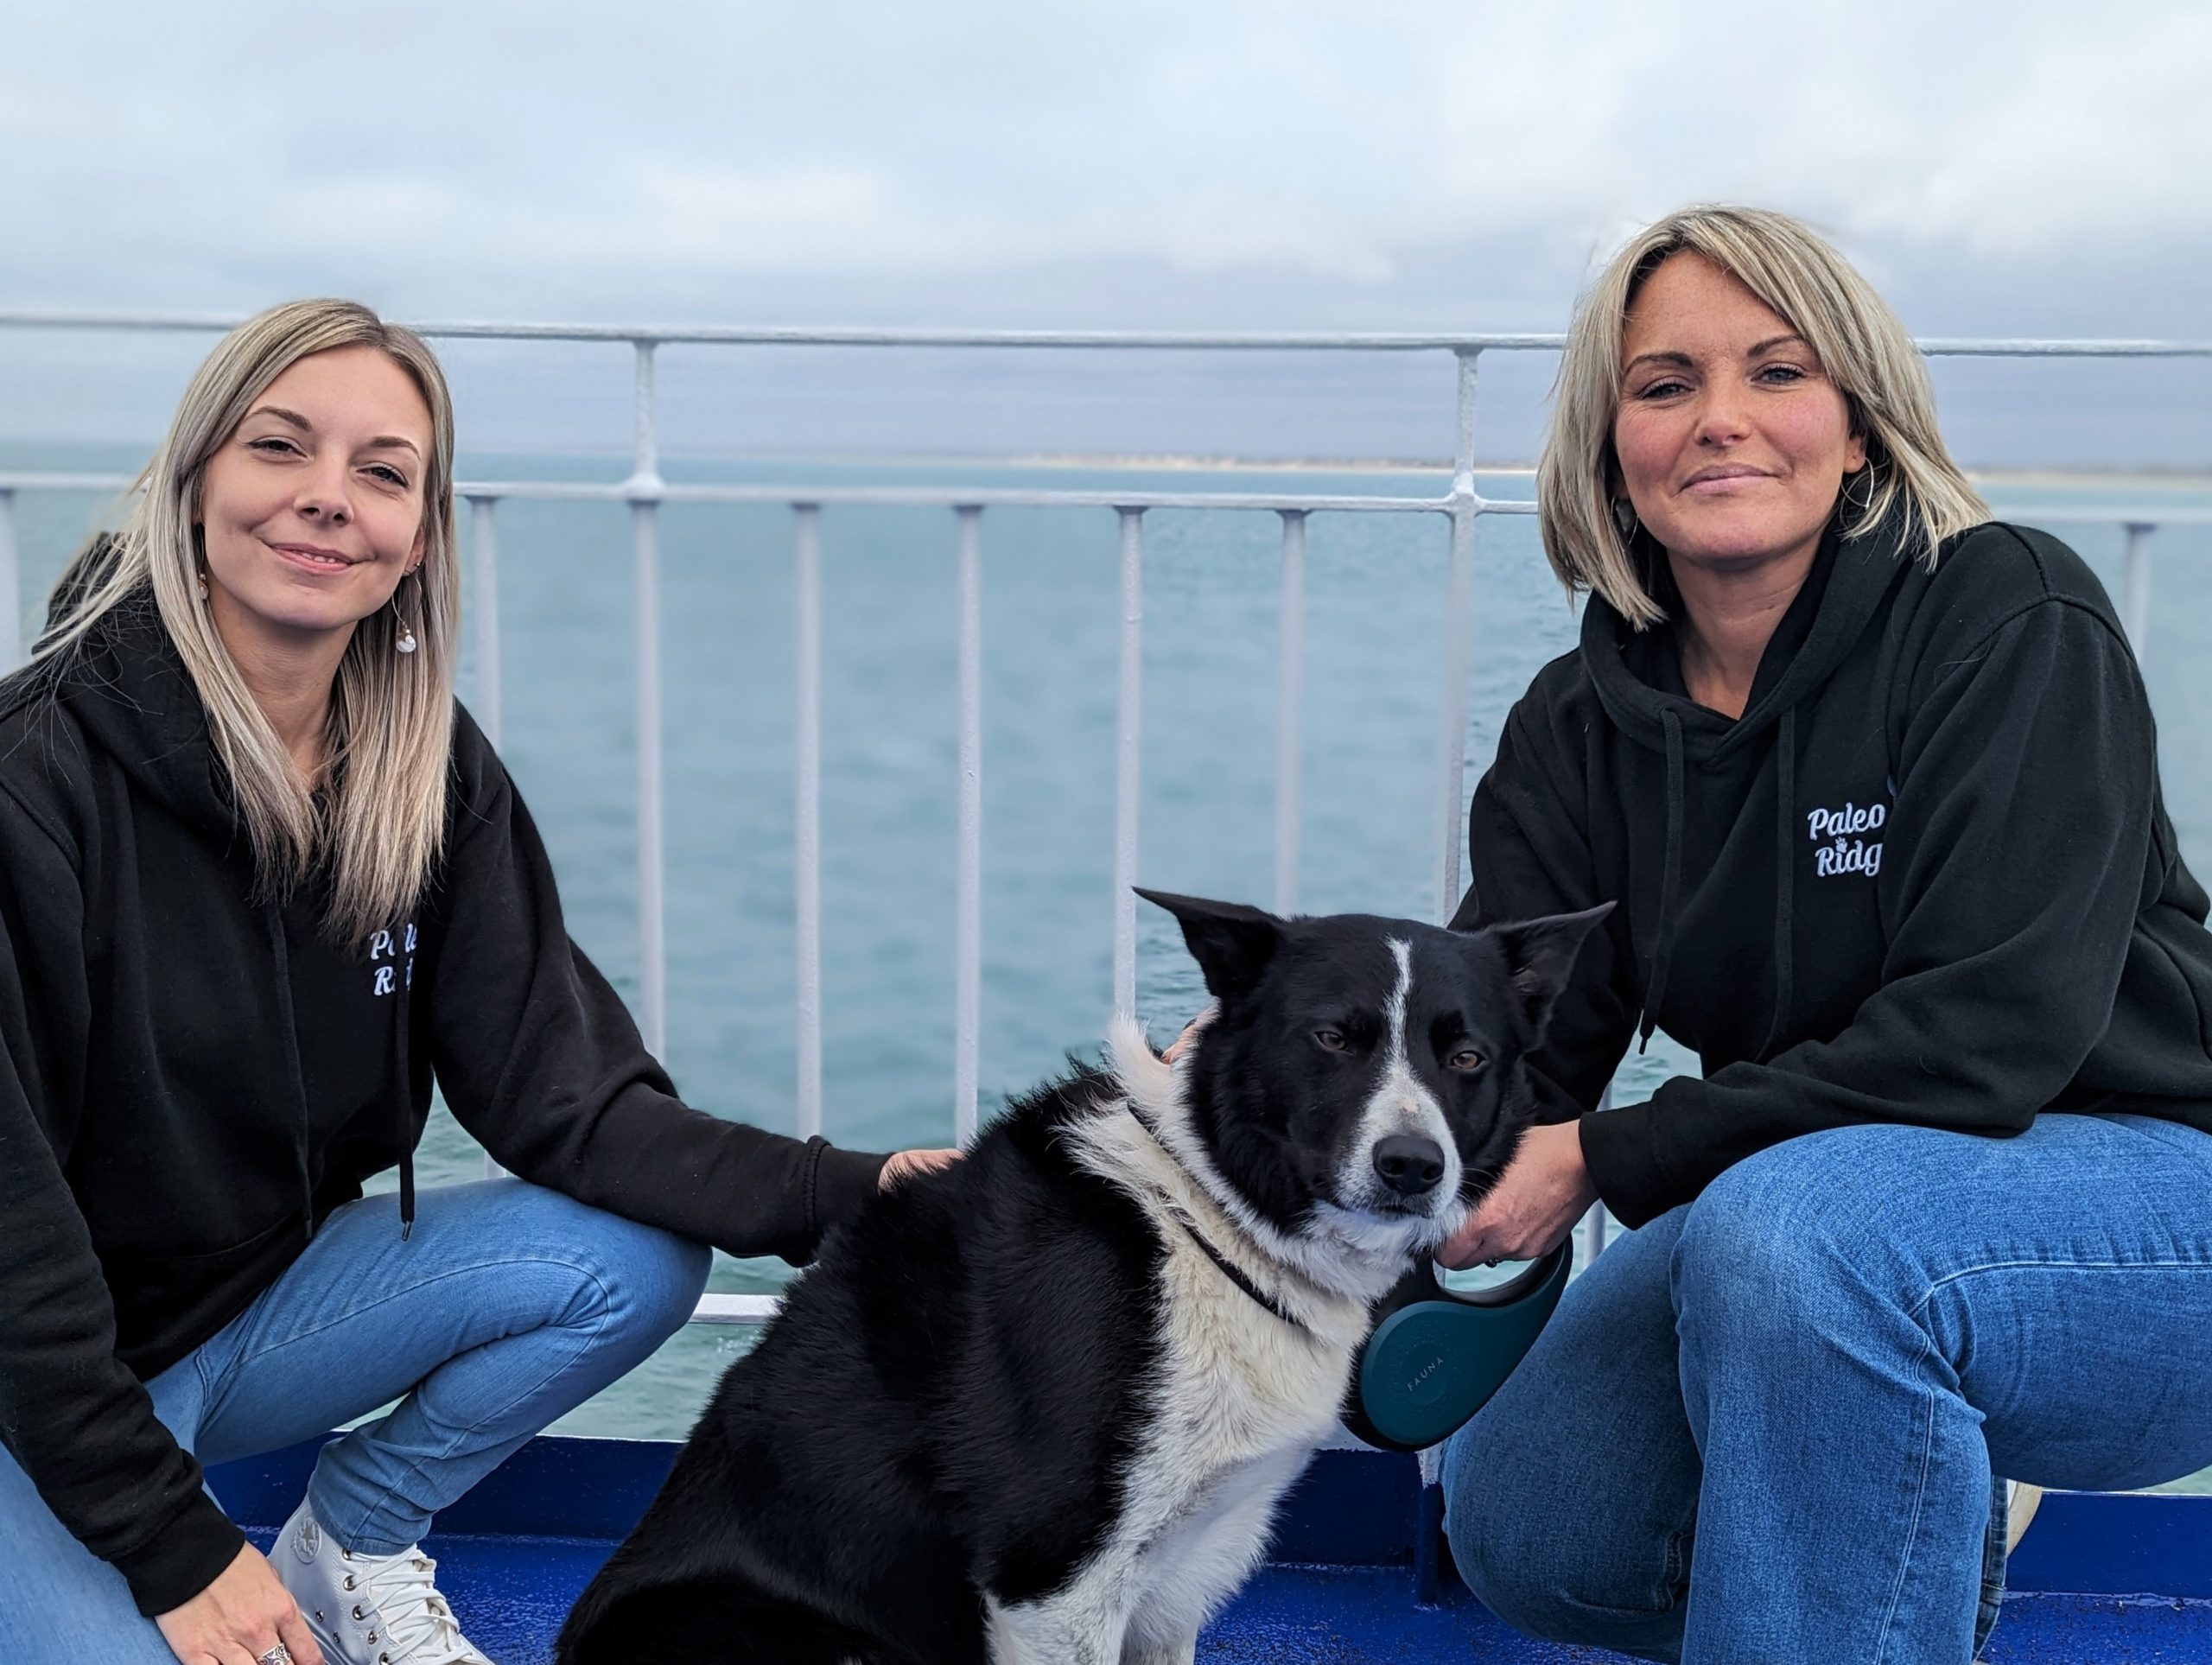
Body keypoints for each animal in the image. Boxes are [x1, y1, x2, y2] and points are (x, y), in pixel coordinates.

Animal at [562, 888, 1601, 1662]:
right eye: (1331, 1039)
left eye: (1465, 1056)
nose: (1412, 1167)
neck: (1212, 1221)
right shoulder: (1054, 1579)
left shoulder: (1181, 1573)